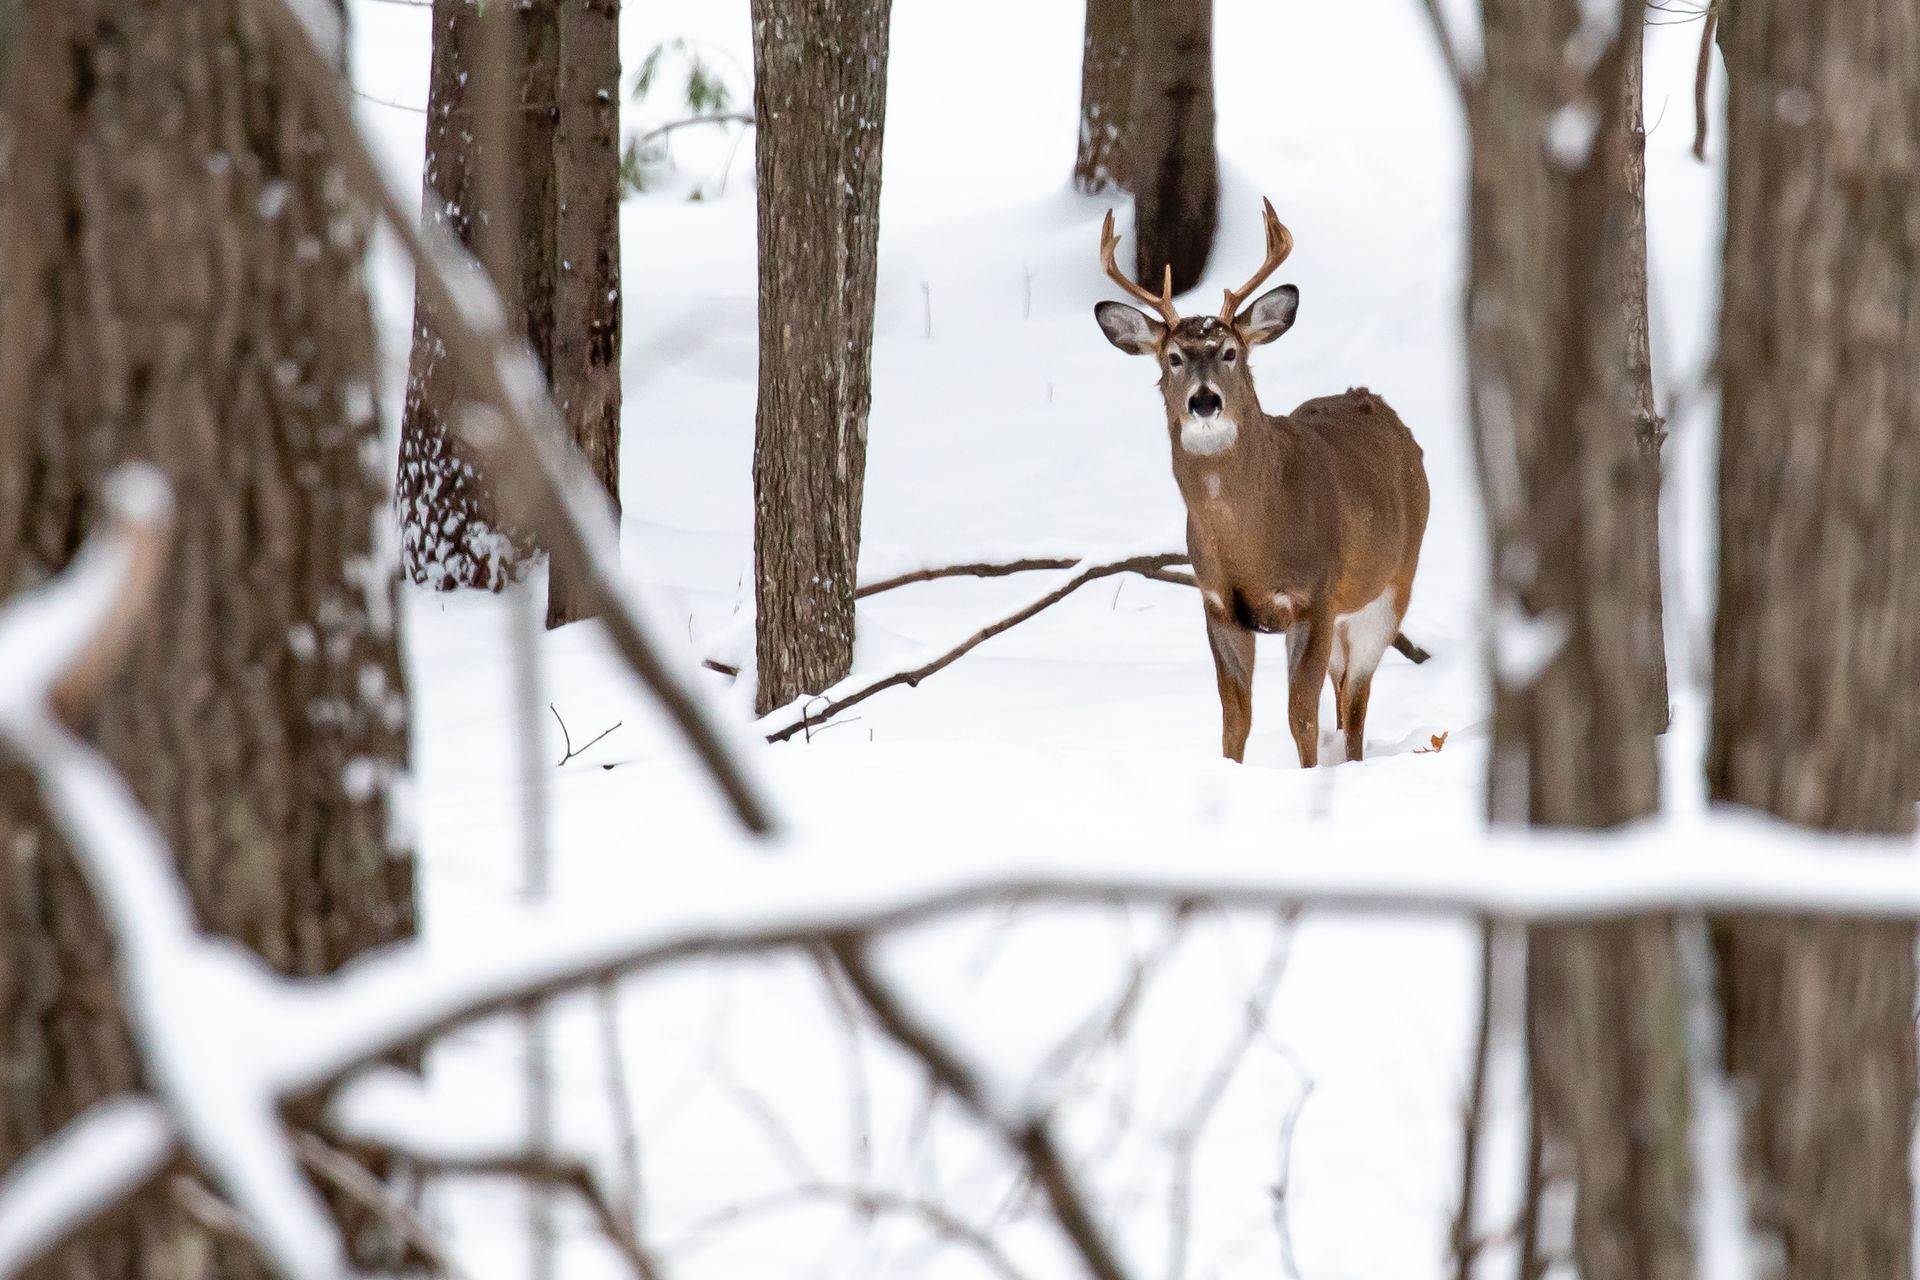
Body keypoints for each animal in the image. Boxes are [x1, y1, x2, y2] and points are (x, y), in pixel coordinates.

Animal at [1093, 200, 1429, 766]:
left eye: (1230, 352)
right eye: (1174, 358)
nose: (1205, 401)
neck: (1252, 544)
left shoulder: (1314, 596)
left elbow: (1301, 717)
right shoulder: (1218, 604)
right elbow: (1235, 721)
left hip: (1390, 587)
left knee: (1357, 697)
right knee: (1344, 690)